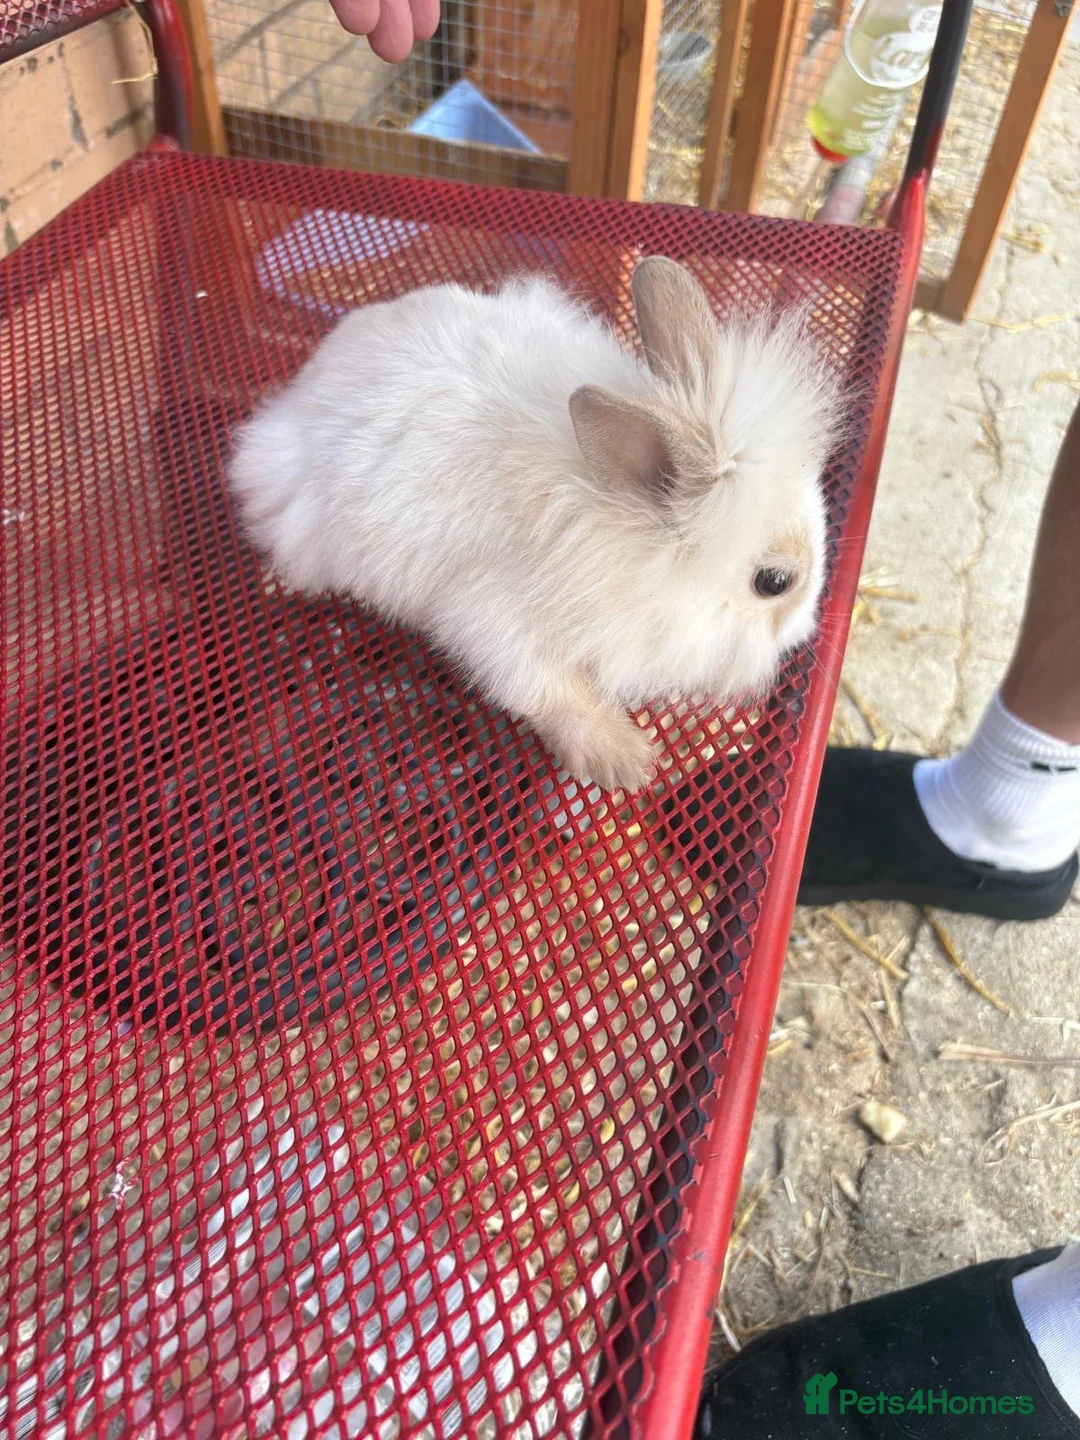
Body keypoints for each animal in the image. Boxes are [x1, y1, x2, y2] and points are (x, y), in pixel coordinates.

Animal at [229, 257, 843, 794]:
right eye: (773, 583)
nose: (803, 633)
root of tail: (316, 367)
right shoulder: (495, 622)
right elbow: (548, 692)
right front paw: (624, 760)